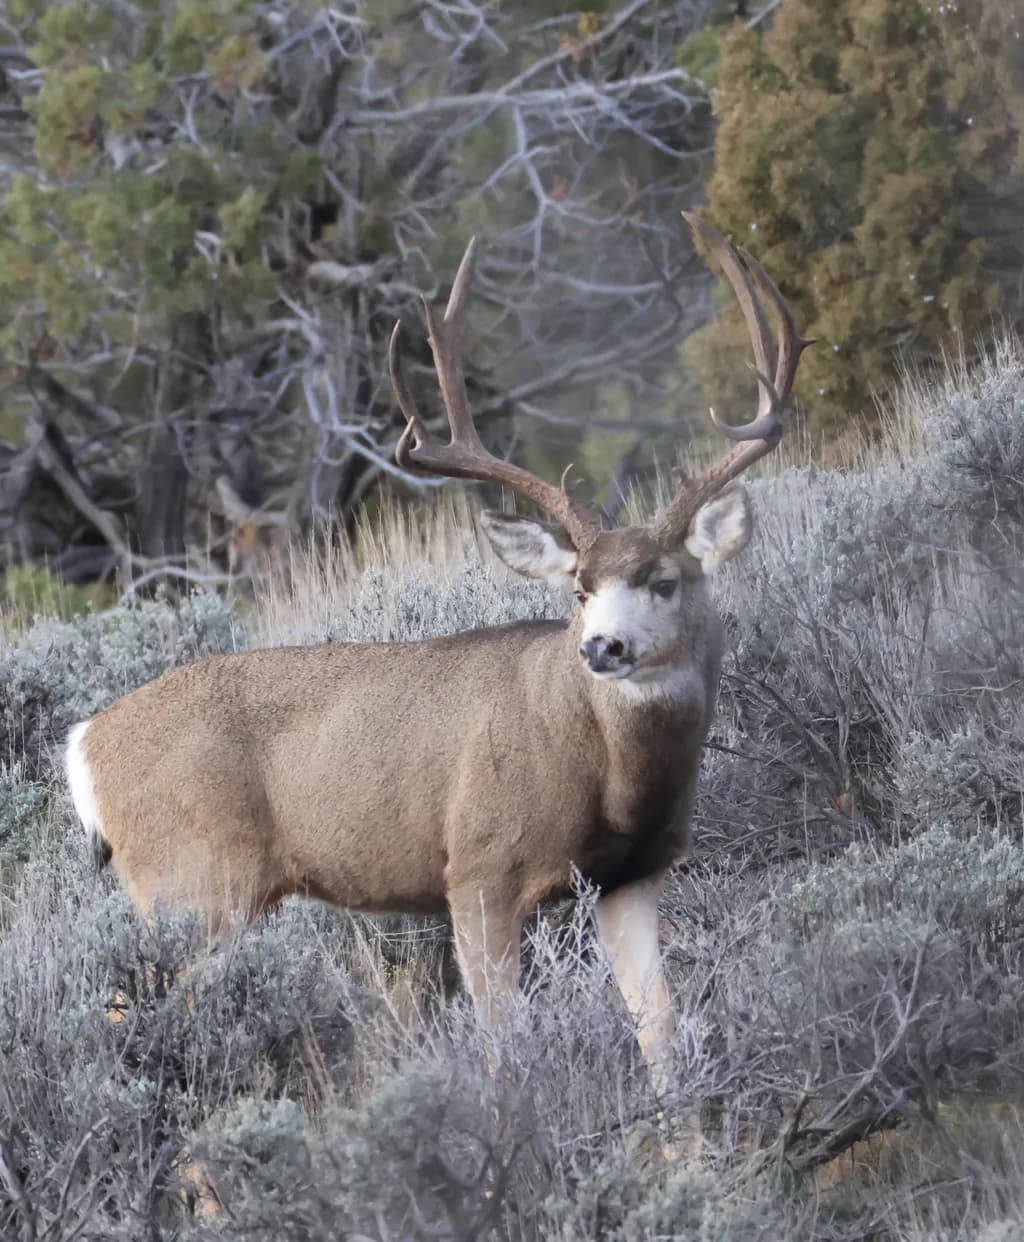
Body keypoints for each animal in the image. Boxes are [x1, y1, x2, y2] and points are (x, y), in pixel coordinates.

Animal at [65, 214, 809, 1098]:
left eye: (663, 580)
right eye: (580, 587)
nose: (602, 646)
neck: (612, 775)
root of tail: (83, 744)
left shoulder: (635, 875)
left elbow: (658, 1032)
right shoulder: (480, 868)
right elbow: (504, 1044)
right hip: (191, 883)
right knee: (137, 1022)